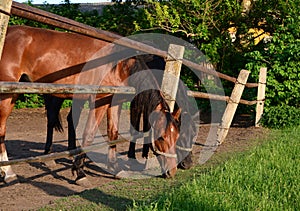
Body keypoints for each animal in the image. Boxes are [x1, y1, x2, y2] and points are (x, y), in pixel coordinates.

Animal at [0, 25, 180, 183]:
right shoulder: (99, 100)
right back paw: (9, 173)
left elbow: (113, 133)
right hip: (7, 95)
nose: (172, 171)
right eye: (162, 137)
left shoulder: (113, 102)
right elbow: (89, 134)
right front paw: (80, 172)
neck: (118, 64)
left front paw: (115, 169)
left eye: (176, 136)